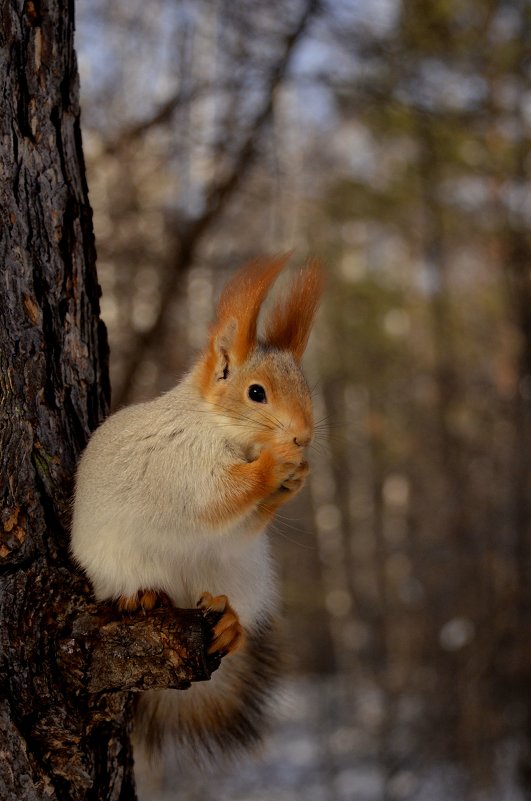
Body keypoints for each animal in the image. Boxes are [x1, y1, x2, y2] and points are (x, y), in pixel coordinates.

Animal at [70, 253, 324, 760]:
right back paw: (143, 596)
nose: (303, 437)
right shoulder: (184, 468)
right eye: (256, 393)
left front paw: (294, 478)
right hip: (120, 564)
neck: (216, 424)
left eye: (305, 387)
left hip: (234, 570)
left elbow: (241, 523)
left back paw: (229, 625)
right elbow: (217, 500)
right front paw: (276, 465)